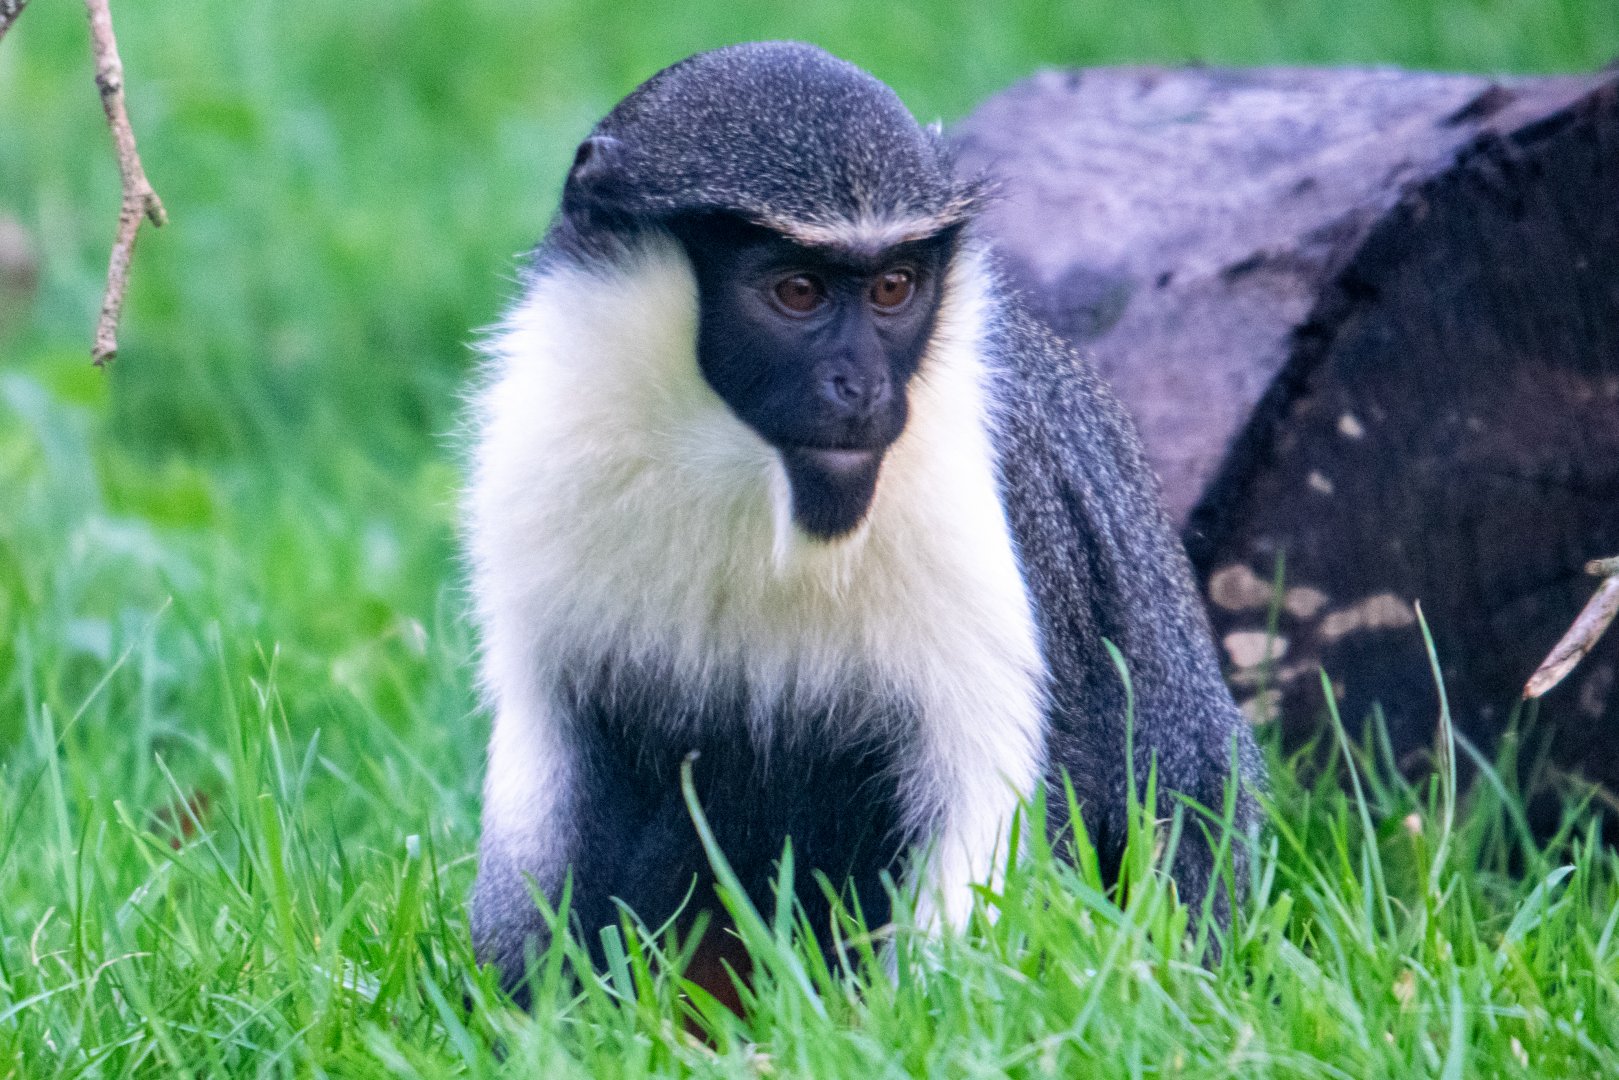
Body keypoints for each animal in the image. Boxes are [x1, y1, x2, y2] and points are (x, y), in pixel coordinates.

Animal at [464, 41, 1264, 1005]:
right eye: (798, 291)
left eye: (891, 288)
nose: (865, 388)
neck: (737, 470)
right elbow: (552, 798)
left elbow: (987, 800)